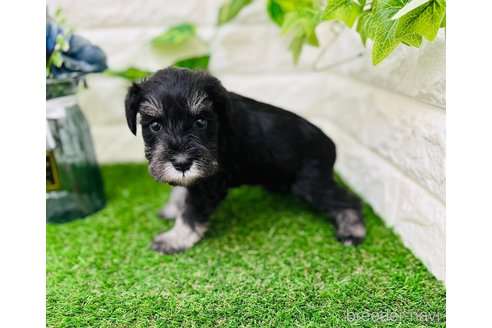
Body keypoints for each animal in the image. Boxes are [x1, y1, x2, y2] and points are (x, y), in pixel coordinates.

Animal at [125, 65, 366, 252]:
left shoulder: (210, 183)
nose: (182, 163)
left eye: (200, 122)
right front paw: (172, 208)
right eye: (155, 125)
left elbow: (191, 213)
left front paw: (174, 239)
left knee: (348, 200)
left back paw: (352, 230)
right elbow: (182, 191)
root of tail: (330, 143)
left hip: (311, 183)